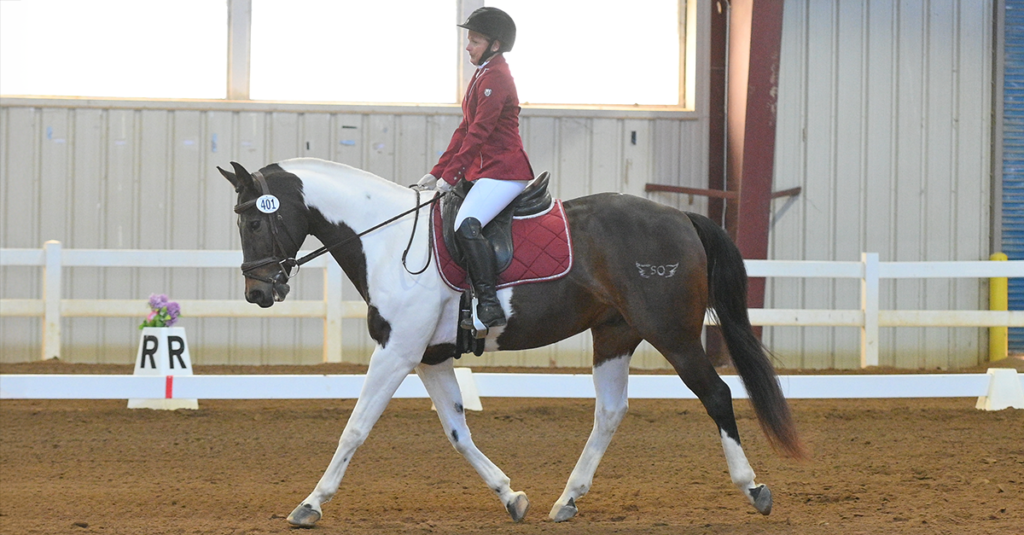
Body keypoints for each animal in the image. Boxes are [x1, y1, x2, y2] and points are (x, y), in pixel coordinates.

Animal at [220, 154, 802, 524]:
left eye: (254, 222)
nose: (257, 292)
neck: (387, 240)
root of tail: (680, 214)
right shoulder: (430, 357)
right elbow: (458, 433)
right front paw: (511, 496)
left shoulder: (397, 352)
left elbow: (354, 429)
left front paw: (311, 504)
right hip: (614, 335)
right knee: (610, 412)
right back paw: (567, 500)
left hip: (672, 333)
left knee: (717, 394)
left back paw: (754, 488)